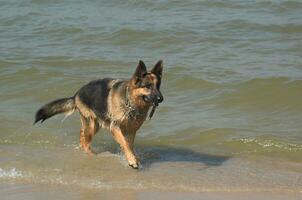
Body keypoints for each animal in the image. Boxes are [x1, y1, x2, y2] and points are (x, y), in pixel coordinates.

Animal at [33, 60, 163, 169]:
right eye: (148, 86)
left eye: (158, 86)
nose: (161, 99)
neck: (130, 102)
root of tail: (76, 94)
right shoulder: (115, 127)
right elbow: (125, 144)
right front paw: (132, 160)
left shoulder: (131, 131)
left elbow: (129, 145)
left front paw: (133, 158)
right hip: (91, 125)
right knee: (86, 142)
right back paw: (92, 155)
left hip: (94, 125)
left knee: (82, 134)